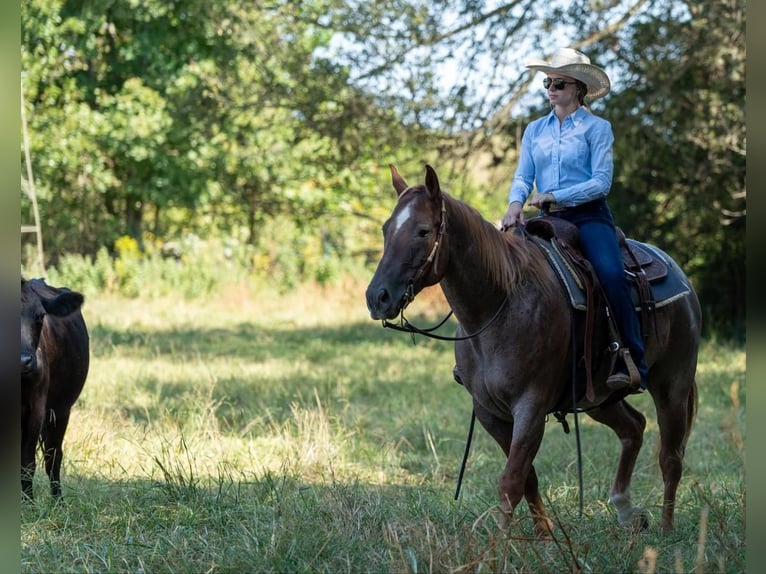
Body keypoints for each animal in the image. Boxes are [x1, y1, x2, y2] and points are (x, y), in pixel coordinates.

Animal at [21, 280, 90, 500]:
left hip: (61, 410)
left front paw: (27, 503)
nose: (24, 361)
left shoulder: (36, 408)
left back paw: (58, 500)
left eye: (40, 316)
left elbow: (27, 464)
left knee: (53, 457)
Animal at [366, 165, 704, 536]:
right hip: (598, 398)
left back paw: (666, 528)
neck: (500, 305)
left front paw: (498, 545)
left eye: (423, 231)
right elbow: (527, 478)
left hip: (672, 386)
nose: (377, 297)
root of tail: (679, 275)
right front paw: (544, 536)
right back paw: (626, 510)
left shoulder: (530, 406)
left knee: (670, 457)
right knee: (633, 428)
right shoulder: (489, 412)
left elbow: (511, 481)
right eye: (386, 229)